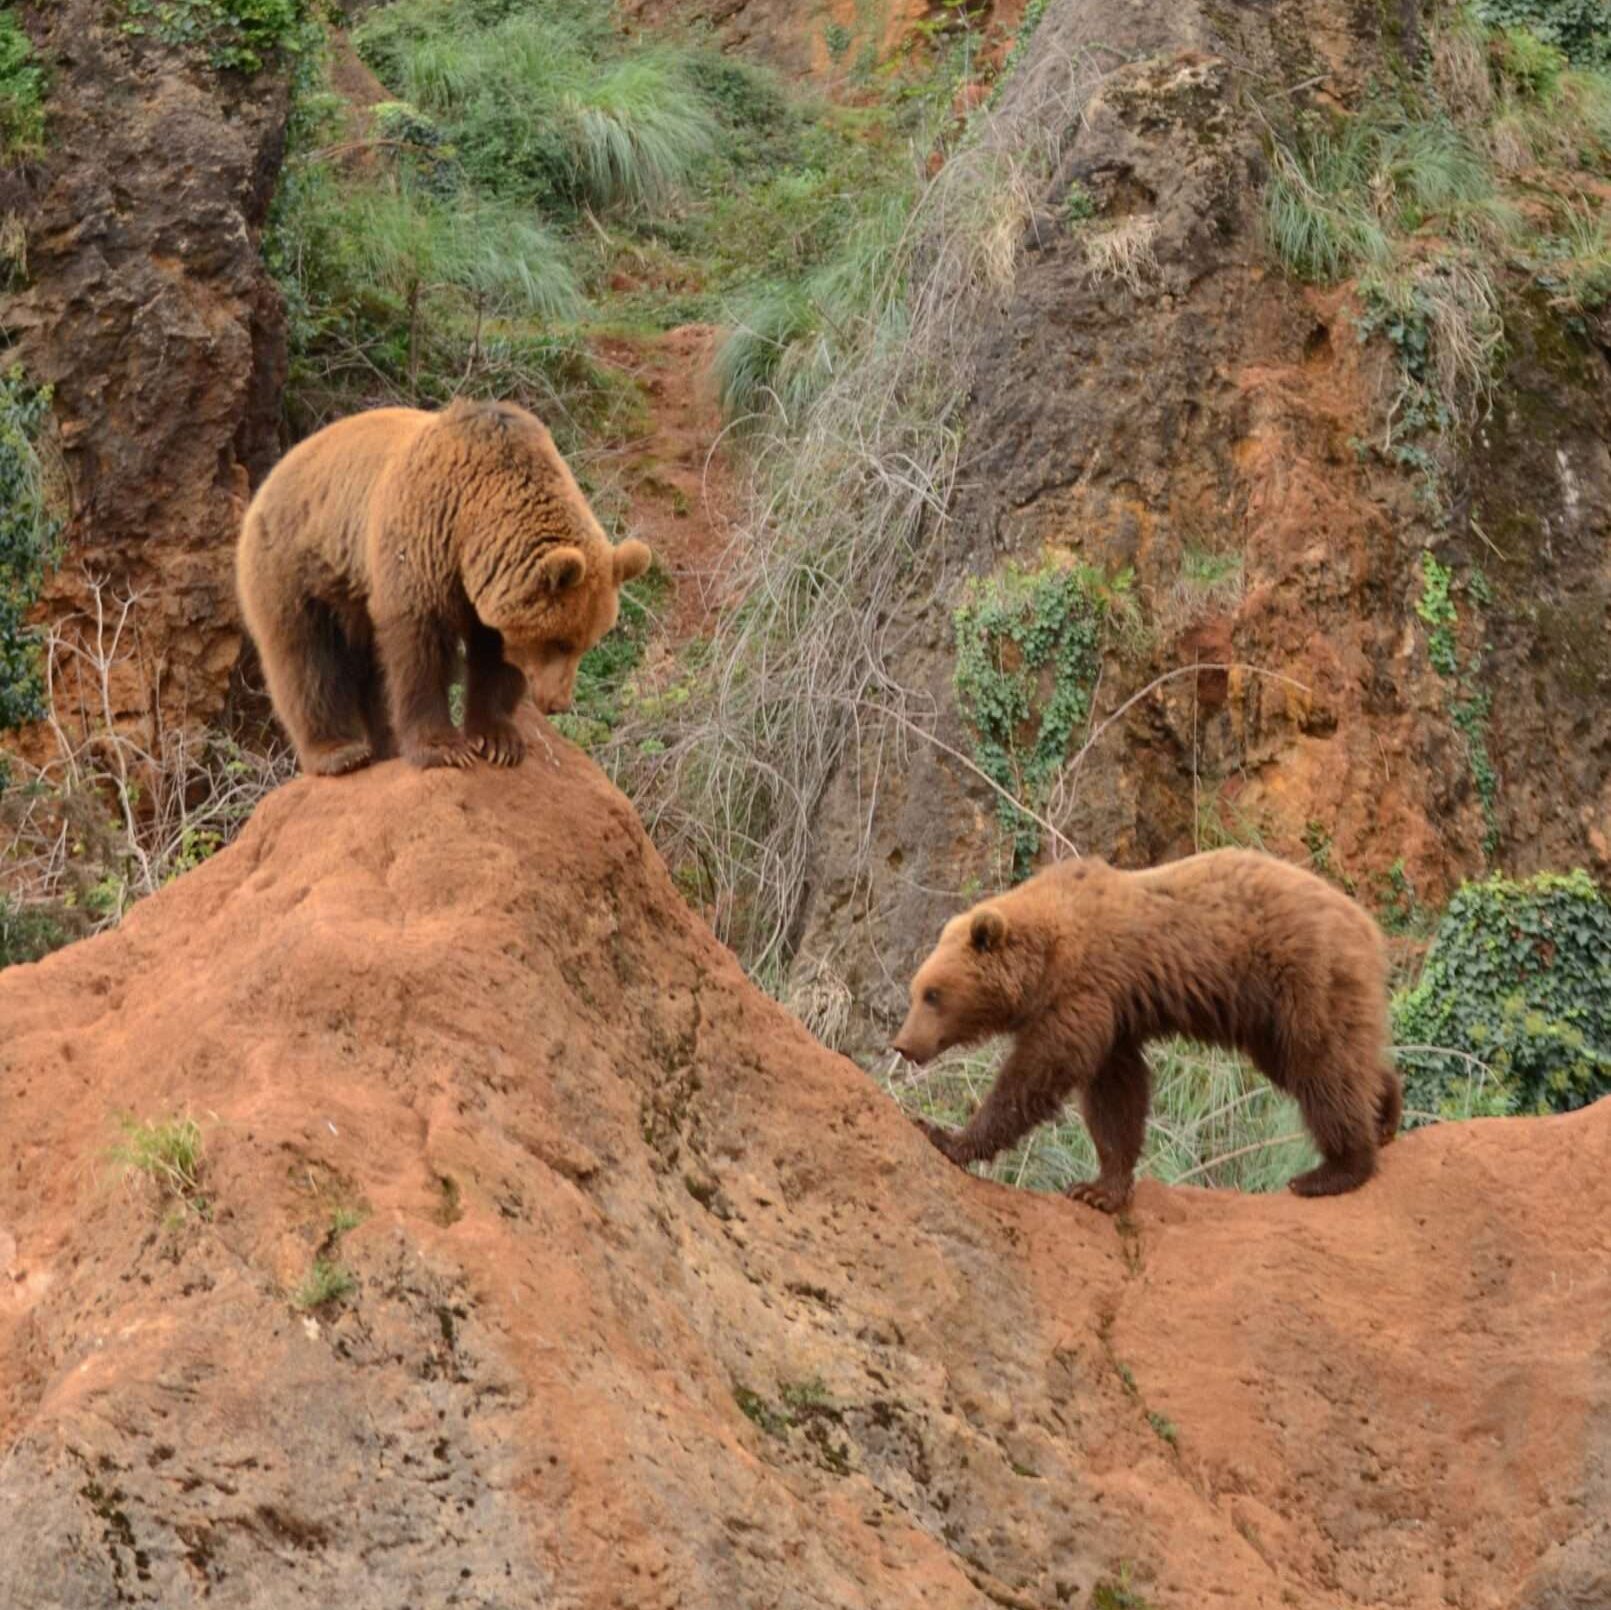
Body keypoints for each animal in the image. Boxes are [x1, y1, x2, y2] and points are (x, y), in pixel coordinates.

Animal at [235, 402, 650, 780]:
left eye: (587, 643)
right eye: (561, 642)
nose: (558, 703)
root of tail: (273, 472)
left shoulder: (487, 592)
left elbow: (495, 660)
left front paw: (499, 741)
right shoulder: (423, 541)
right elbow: (421, 648)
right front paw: (444, 748)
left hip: (352, 592)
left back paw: (386, 746)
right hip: (299, 563)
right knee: (305, 656)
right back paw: (340, 752)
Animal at [889, 857, 1404, 1211]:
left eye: (933, 994)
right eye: (915, 990)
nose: (904, 1045)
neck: (1047, 958)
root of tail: (1367, 924)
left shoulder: (1085, 992)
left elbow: (1039, 1072)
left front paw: (946, 1136)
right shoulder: (1116, 1016)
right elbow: (1116, 1095)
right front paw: (1099, 1188)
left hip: (1302, 978)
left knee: (1322, 1067)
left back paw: (1331, 1171)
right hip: (1269, 1018)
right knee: (1326, 1063)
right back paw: (1385, 1111)